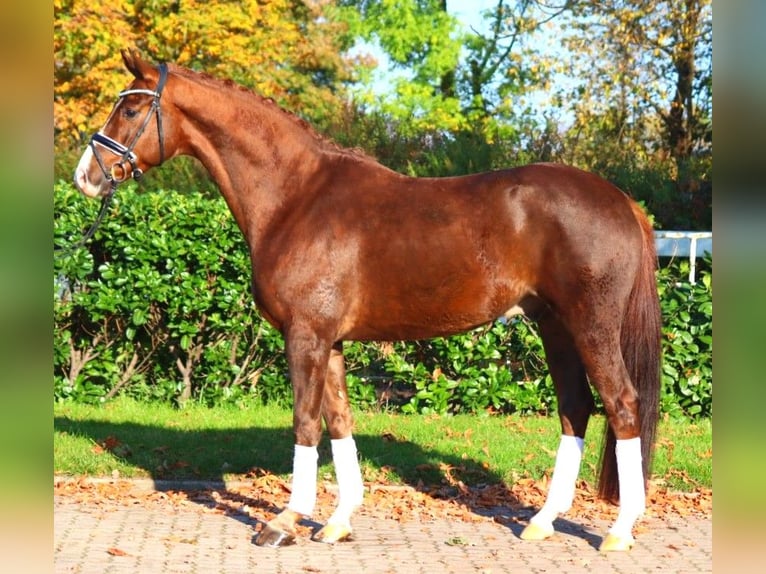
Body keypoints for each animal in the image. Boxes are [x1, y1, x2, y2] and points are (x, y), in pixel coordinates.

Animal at [75, 51, 664, 556]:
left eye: (131, 108)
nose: (86, 176)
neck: (296, 196)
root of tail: (622, 201)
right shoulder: (329, 341)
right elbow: (339, 422)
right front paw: (337, 522)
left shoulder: (306, 336)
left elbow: (306, 424)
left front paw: (285, 521)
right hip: (555, 327)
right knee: (575, 408)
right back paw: (542, 522)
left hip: (591, 326)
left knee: (622, 405)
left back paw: (619, 531)